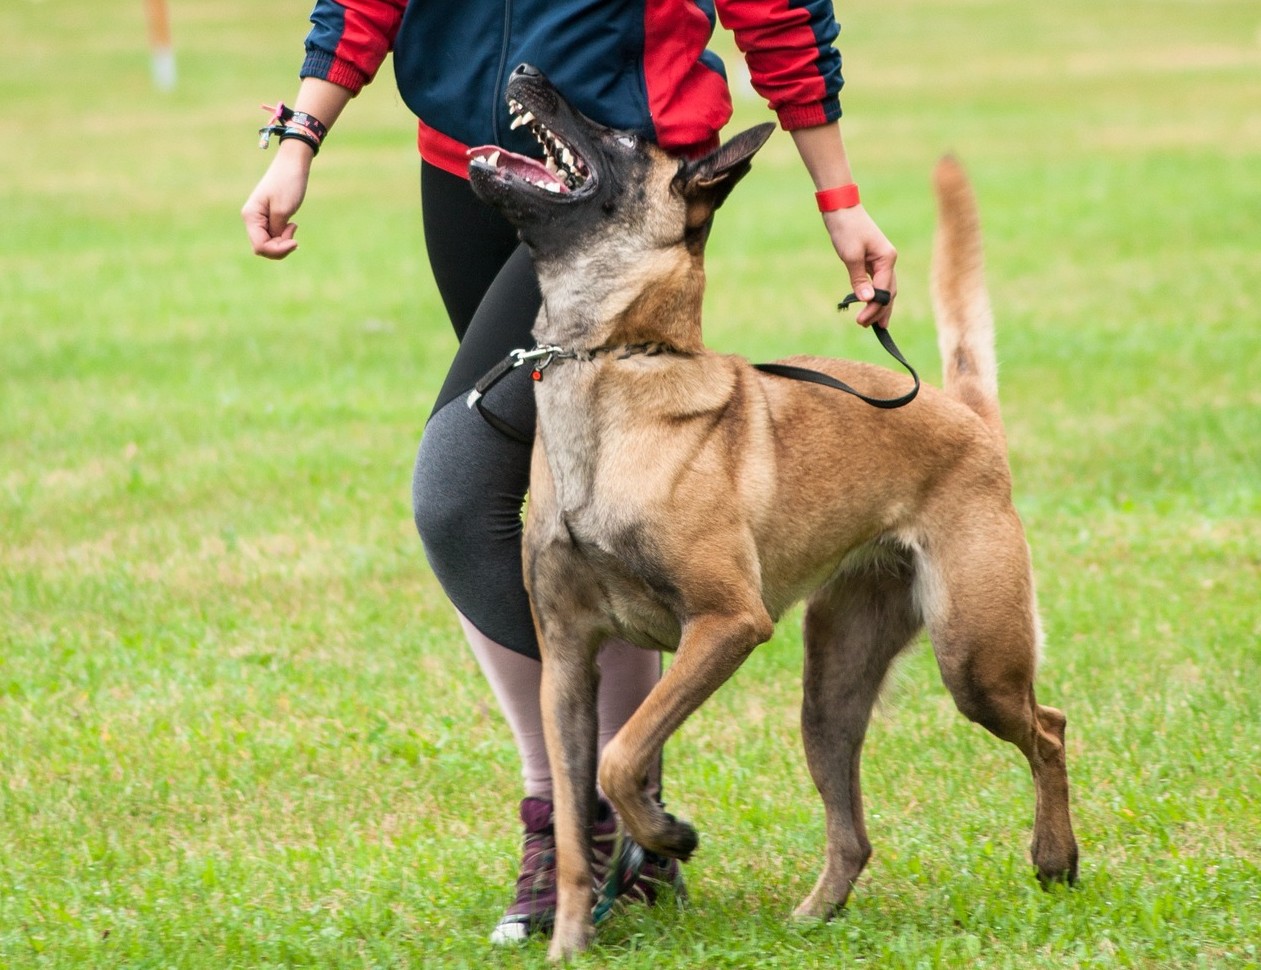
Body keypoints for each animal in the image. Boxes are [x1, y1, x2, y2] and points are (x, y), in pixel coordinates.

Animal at [469, 64, 1079, 958]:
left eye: (621, 139)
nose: (524, 71)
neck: (616, 360)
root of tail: (962, 412)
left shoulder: (725, 624)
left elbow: (620, 757)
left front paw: (666, 834)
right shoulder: (567, 663)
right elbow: (583, 819)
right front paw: (572, 939)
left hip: (973, 659)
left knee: (1049, 726)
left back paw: (1054, 857)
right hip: (830, 692)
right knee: (854, 833)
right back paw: (813, 915)